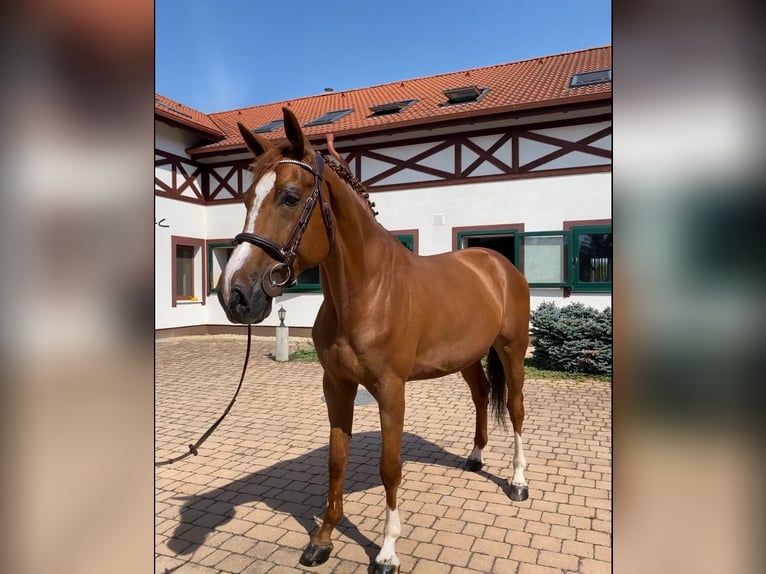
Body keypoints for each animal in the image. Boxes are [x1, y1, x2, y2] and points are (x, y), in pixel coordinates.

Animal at [216, 109, 528, 574]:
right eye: (247, 198)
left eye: (289, 197)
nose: (234, 294)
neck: (368, 291)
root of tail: (496, 263)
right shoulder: (337, 385)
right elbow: (336, 459)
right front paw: (322, 540)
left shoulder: (390, 389)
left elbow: (390, 467)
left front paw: (386, 551)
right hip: (468, 358)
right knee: (480, 394)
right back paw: (474, 458)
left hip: (512, 350)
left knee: (516, 409)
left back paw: (518, 481)